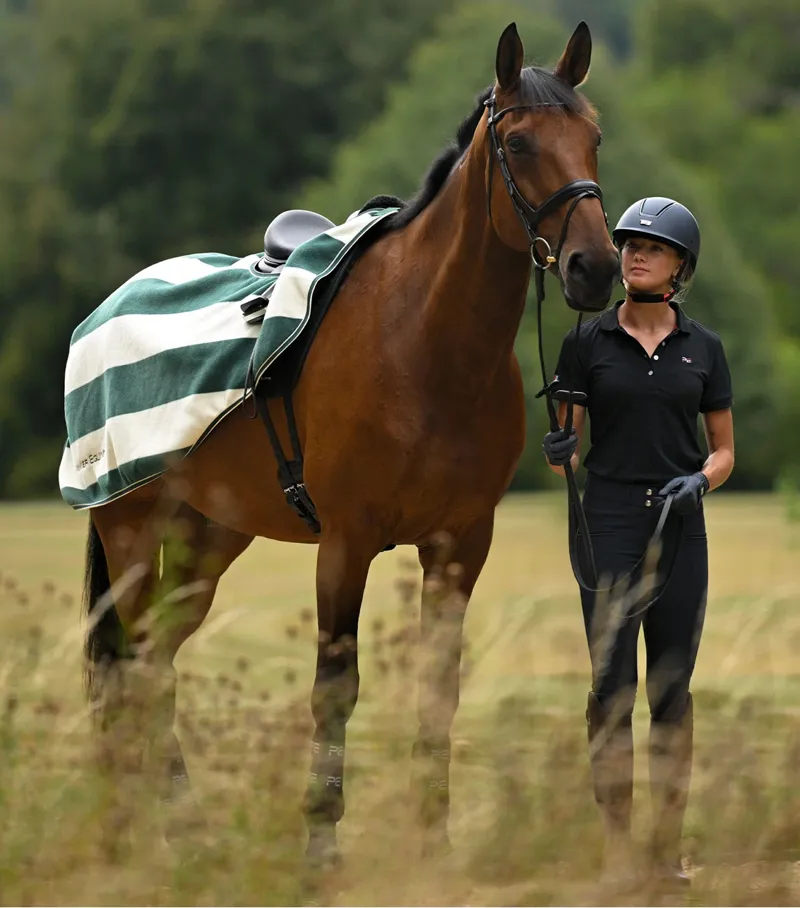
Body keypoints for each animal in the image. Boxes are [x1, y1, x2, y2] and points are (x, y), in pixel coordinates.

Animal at [76, 20, 621, 867]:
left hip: (209, 537)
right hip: (130, 528)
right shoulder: (346, 541)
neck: (424, 341)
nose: (594, 268)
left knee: (154, 660)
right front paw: (321, 844)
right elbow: (335, 686)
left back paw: (177, 826)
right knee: (133, 664)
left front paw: (432, 838)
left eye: (593, 137)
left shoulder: (461, 543)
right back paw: (143, 831)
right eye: (520, 141)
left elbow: (439, 686)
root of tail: (109, 308)